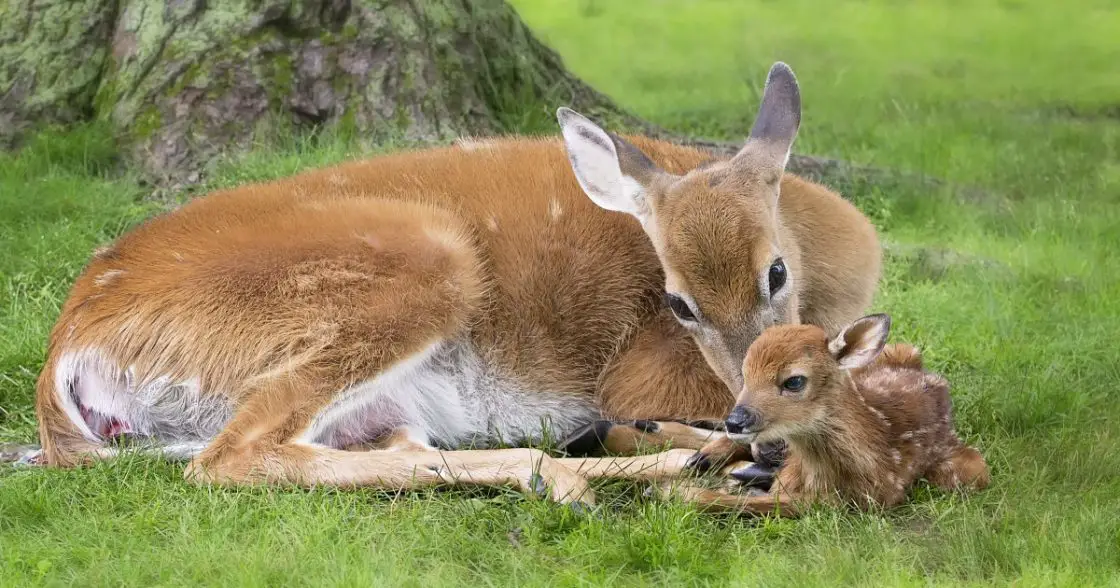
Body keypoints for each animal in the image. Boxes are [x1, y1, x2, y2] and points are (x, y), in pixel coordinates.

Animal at [32, 64, 873, 504]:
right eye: (676, 302)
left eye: (775, 271)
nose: (746, 414)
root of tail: (66, 348)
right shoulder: (642, 370)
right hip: (423, 268)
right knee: (232, 456)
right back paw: (630, 470)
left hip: (379, 400)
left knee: (384, 447)